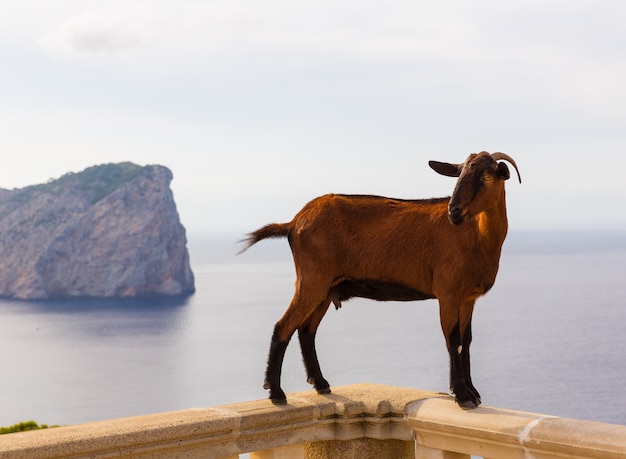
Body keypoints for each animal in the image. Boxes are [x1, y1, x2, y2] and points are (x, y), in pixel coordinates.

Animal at [240, 152, 520, 410]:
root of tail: (293, 222)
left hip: (326, 287)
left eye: (487, 176)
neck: (476, 237)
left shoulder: (468, 297)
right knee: (283, 327)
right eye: (459, 175)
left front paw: (470, 392)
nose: (454, 211)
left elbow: (466, 340)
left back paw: (320, 383)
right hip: (312, 280)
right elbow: (453, 340)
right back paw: (276, 392)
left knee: (306, 330)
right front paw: (462, 395)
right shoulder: (448, 293)